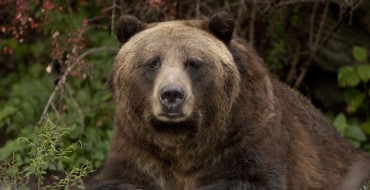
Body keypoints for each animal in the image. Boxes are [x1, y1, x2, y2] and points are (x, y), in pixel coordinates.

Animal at [95, 12, 370, 189]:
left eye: (193, 63)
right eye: (153, 62)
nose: (172, 94)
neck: (182, 142)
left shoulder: (248, 133)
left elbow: (248, 180)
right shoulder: (137, 145)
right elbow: (122, 180)